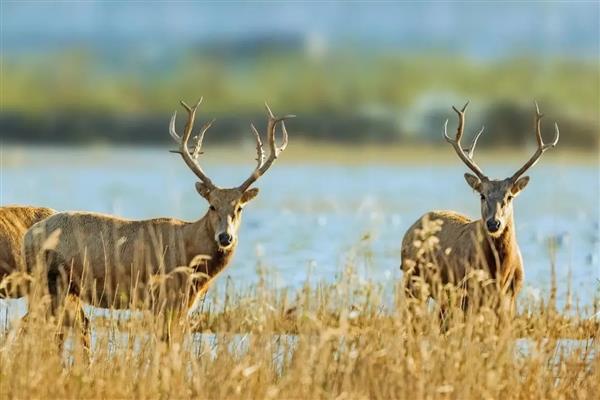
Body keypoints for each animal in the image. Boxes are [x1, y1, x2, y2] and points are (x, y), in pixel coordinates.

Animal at [22, 98, 294, 342]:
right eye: (212, 205)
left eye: (239, 208)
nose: (225, 237)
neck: (189, 250)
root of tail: (28, 236)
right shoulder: (162, 297)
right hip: (49, 283)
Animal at [400, 101, 560, 314]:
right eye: (482, 195)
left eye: (509, 197)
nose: (494, 223)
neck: (499, 273)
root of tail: (409, 231)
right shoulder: (469, 294)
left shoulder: (511, 299)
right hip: (413, 281)